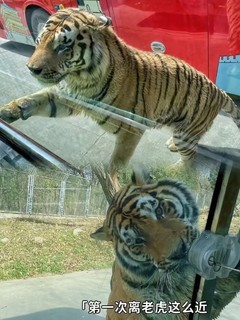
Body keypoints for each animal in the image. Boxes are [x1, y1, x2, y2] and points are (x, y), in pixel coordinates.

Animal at [0, 8, 239, 190]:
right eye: (39, 41)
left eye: (63, 46)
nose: (31, 69)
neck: (82, 78)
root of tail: (220, 90)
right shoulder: (69, 97)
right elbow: (39, 98)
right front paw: (10, 110)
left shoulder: (129, 129)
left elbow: (117, 162)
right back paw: (171, 144)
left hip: (187, 131)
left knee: (190, 160)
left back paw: (175, 170)